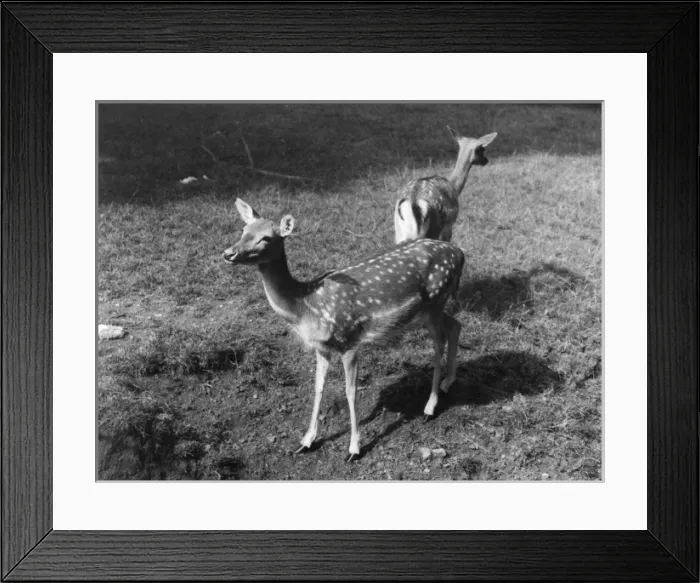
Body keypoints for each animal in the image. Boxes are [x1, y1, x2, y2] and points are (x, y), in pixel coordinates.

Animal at [222, 198, 465, 462]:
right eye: (243, 230)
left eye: (266, 238)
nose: (228, 253)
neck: (305, 306)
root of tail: (460, 254)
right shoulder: (322, 348)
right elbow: (318, 387)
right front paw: (306, 441)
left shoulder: (349, 339)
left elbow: (351, 392)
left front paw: (354, 449)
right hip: (429, 310)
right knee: (456, 325)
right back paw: (447, 383)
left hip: (436, 300)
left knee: (439, 343)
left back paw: (430, 407)